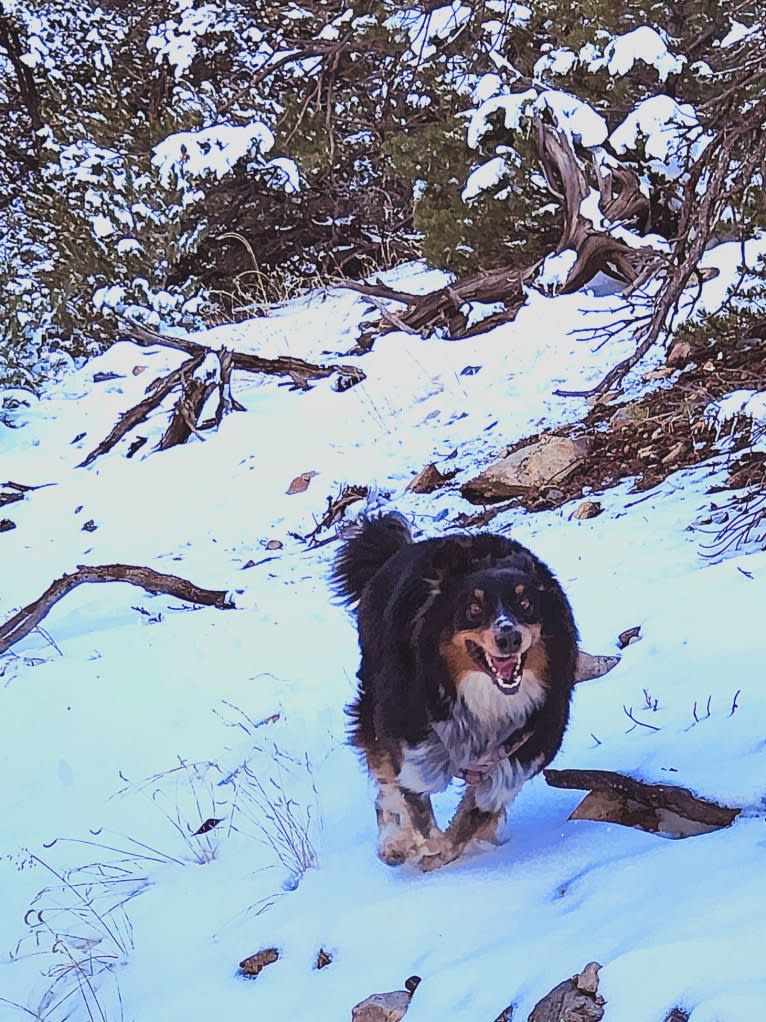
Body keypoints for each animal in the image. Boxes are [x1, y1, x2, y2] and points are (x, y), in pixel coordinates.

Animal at [332, 510, 580, 870]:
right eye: (473, 609)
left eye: (525, 603)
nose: (509, 637)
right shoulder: (410, 735)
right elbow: (414, 797)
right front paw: (424, 846)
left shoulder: (520, 754)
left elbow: (470, 819)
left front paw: (443, 852)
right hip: (373, 699)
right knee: (381, 775)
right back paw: (392, 842)